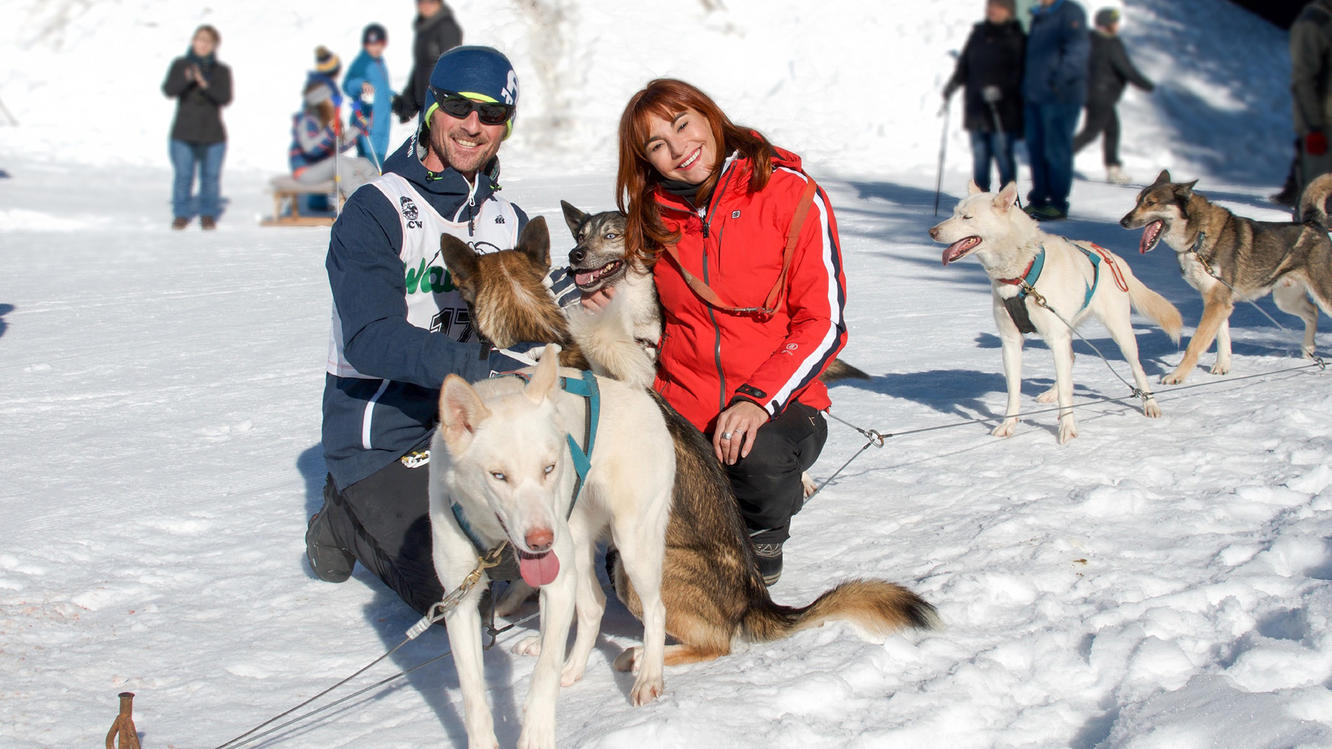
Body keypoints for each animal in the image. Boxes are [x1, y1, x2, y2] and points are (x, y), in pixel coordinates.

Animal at [428, 346, 671, 746]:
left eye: (549, 467)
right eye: (498, 475)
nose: (541, 539)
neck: (497, 545)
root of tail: (632, 390)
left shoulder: (556, 585)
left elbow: (544, 674)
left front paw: (536, 735)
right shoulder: (459, 602)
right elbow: (473, 695)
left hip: (632, 544)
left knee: (655, 611)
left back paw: (649, 674)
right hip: (575, 545)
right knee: (593, 607)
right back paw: (572, 668)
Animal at [932, 182, 1182, 442]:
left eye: (967, 217)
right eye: (954, 213)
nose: (932, 231)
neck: (1021, 275)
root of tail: (1111, 256)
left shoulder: (1056, 337)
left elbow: (1066, 392)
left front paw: (1067, 427)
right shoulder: (1011, 341)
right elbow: (1014, 390)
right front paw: (1008, 424)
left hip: (1119, 332)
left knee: (1136, 368)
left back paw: (1150, 403)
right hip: (1067, 330)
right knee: (1070, 360)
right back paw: (1052, 393)